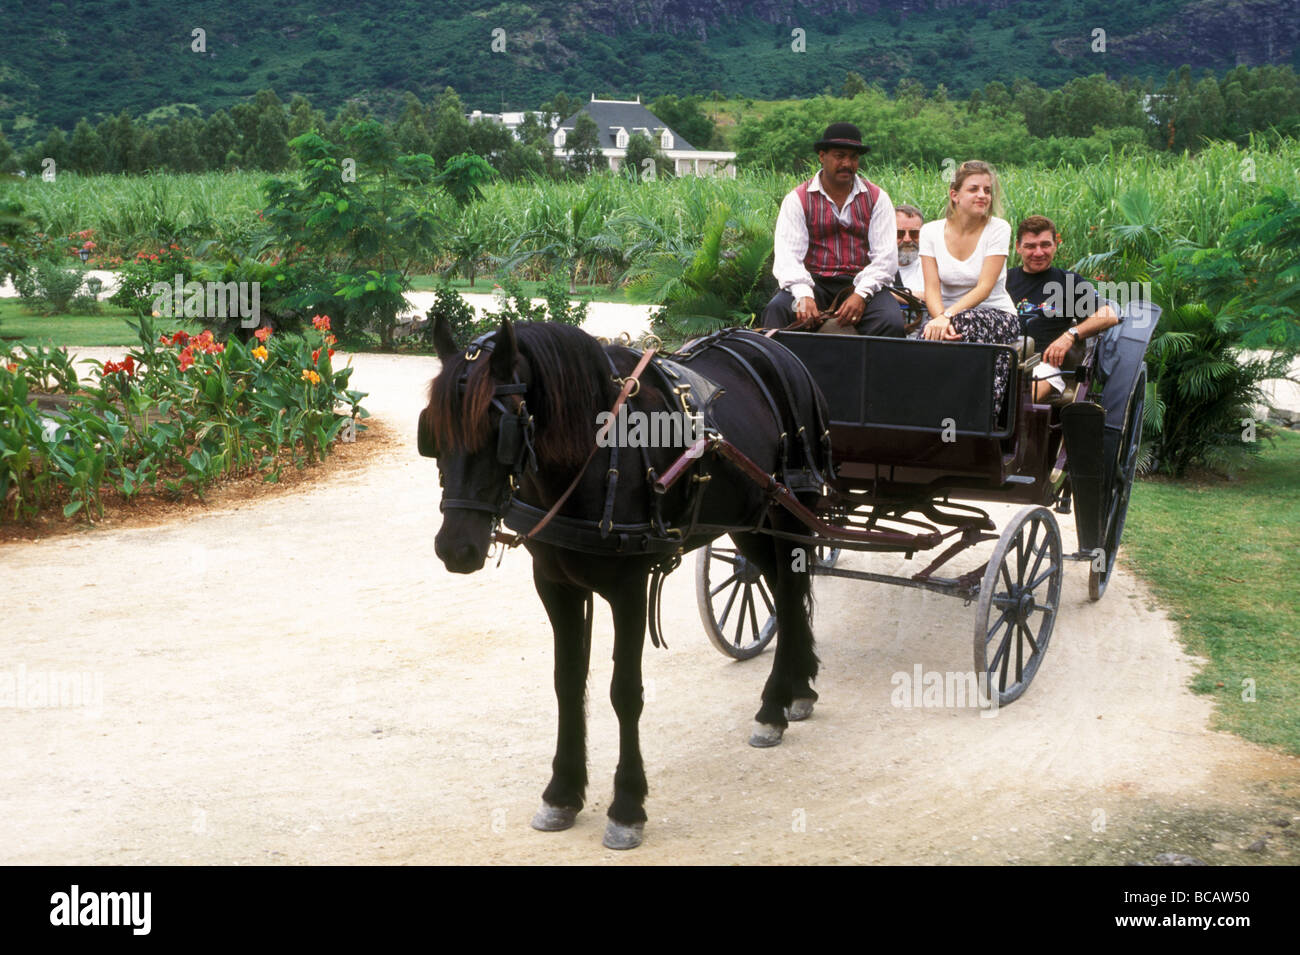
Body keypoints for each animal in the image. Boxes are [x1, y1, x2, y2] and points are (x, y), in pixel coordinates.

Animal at [423, 317, 832, 847]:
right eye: (432, 432)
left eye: (500, 430)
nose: (455, 548)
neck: (592, 455)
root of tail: (770, 344)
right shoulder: (554, 583)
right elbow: (567, 682)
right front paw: (562, 792)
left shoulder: (629, 589)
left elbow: (625, 692)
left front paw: (627, 806)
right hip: (751, 521)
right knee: (782, 591)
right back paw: (797, 689)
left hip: (789, 511)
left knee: (789, 589)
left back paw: (774, 705)